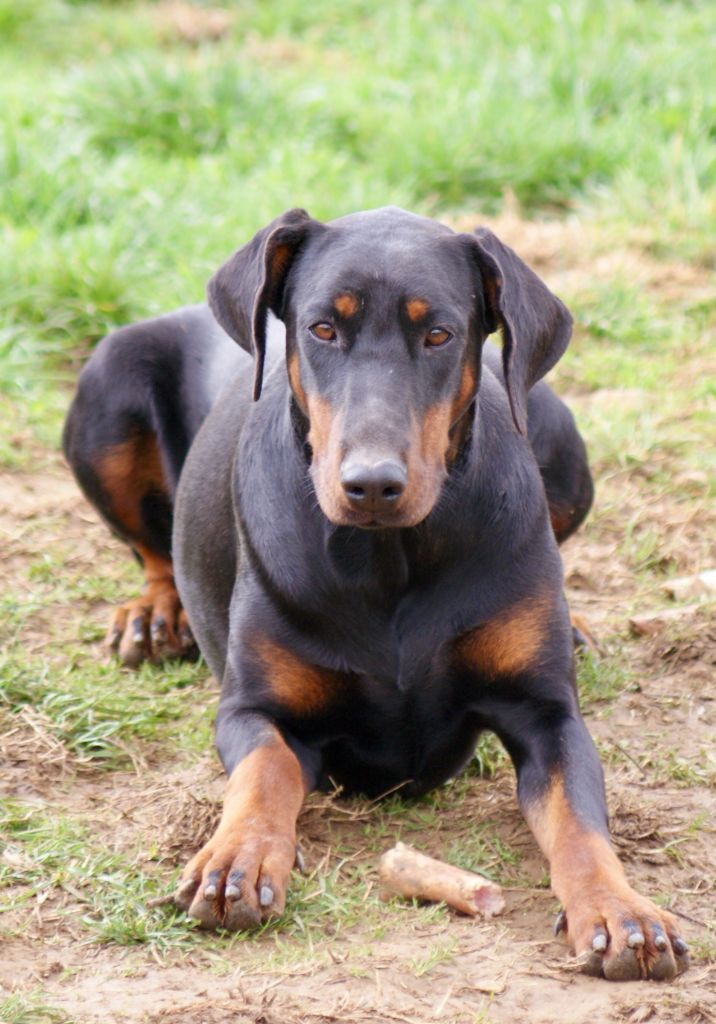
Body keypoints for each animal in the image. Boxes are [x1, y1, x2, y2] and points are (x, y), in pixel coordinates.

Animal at [66, 203, 688, 978]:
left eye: (439, 333)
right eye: (322, 329)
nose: (371, 483)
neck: (389, 557)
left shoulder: (545, 715)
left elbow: (579, 818)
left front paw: (619, 911)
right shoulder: (253, 708)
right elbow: (267, 767)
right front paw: (237, 860)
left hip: (558, 437)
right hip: (107, 385)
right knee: (153, 548)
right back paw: (153, 616)